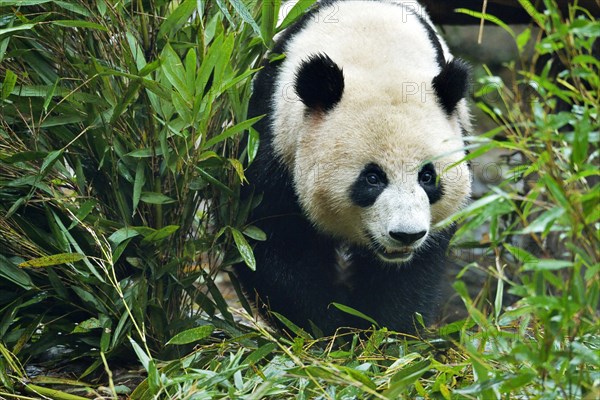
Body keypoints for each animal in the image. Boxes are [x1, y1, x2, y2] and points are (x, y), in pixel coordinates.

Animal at [237, 0, 472, 336]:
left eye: (428, 176)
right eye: (372, 178)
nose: (406, 235)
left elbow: (411, 273)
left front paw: (383, 331)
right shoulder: (274, 134)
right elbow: (271, 238)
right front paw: (330, 328)